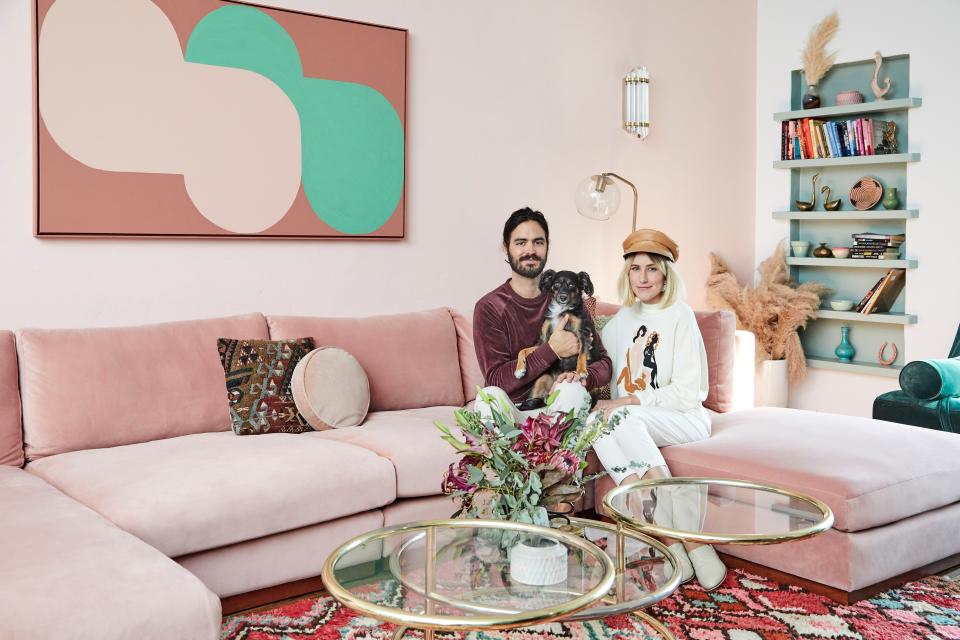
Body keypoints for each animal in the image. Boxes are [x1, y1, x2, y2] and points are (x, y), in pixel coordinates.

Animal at [512, 272, 596, 404]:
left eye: (572, 285)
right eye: (556, 284)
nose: (563, 297)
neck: (561, 311)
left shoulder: (583, 333)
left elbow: (582, 352)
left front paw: (581, 370)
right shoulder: (544, 342)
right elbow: (523, 350)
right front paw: (519, 370)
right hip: (541, 381)